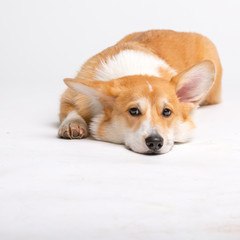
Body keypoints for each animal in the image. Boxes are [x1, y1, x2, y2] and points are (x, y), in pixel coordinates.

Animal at [57, 29, 221, 154]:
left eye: (167, 112)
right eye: (134, 111)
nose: (155, 142)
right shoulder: (73, 95)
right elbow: (70, 110)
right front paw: (73, 125)